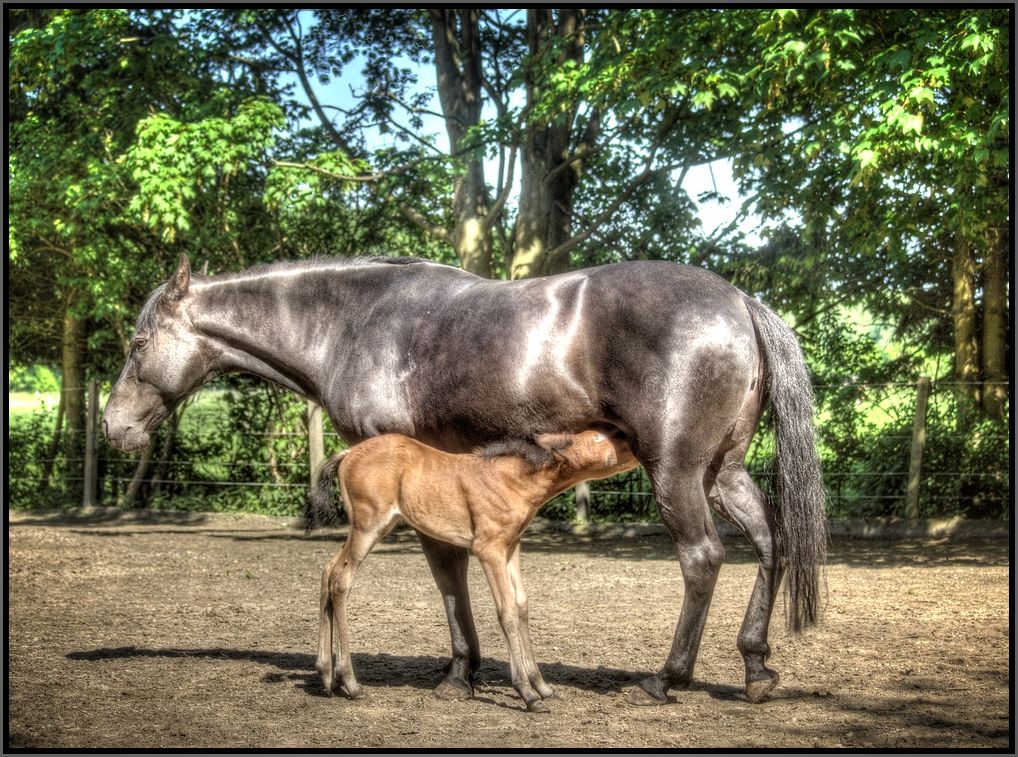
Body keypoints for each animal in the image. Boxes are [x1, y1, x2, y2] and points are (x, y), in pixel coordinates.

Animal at [317, 429, 635, 712]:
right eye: (597, 437)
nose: (630, 440)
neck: (513, 480)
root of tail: (348, 453)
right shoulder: (489, 550)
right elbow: (507, 613)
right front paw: (528, 695)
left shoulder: (511, 548)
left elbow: (521, 606)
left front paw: (542, 687)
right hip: (369, 526)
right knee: (341, 580)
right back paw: (351, 683)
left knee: (328, 571)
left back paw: (326, 674)